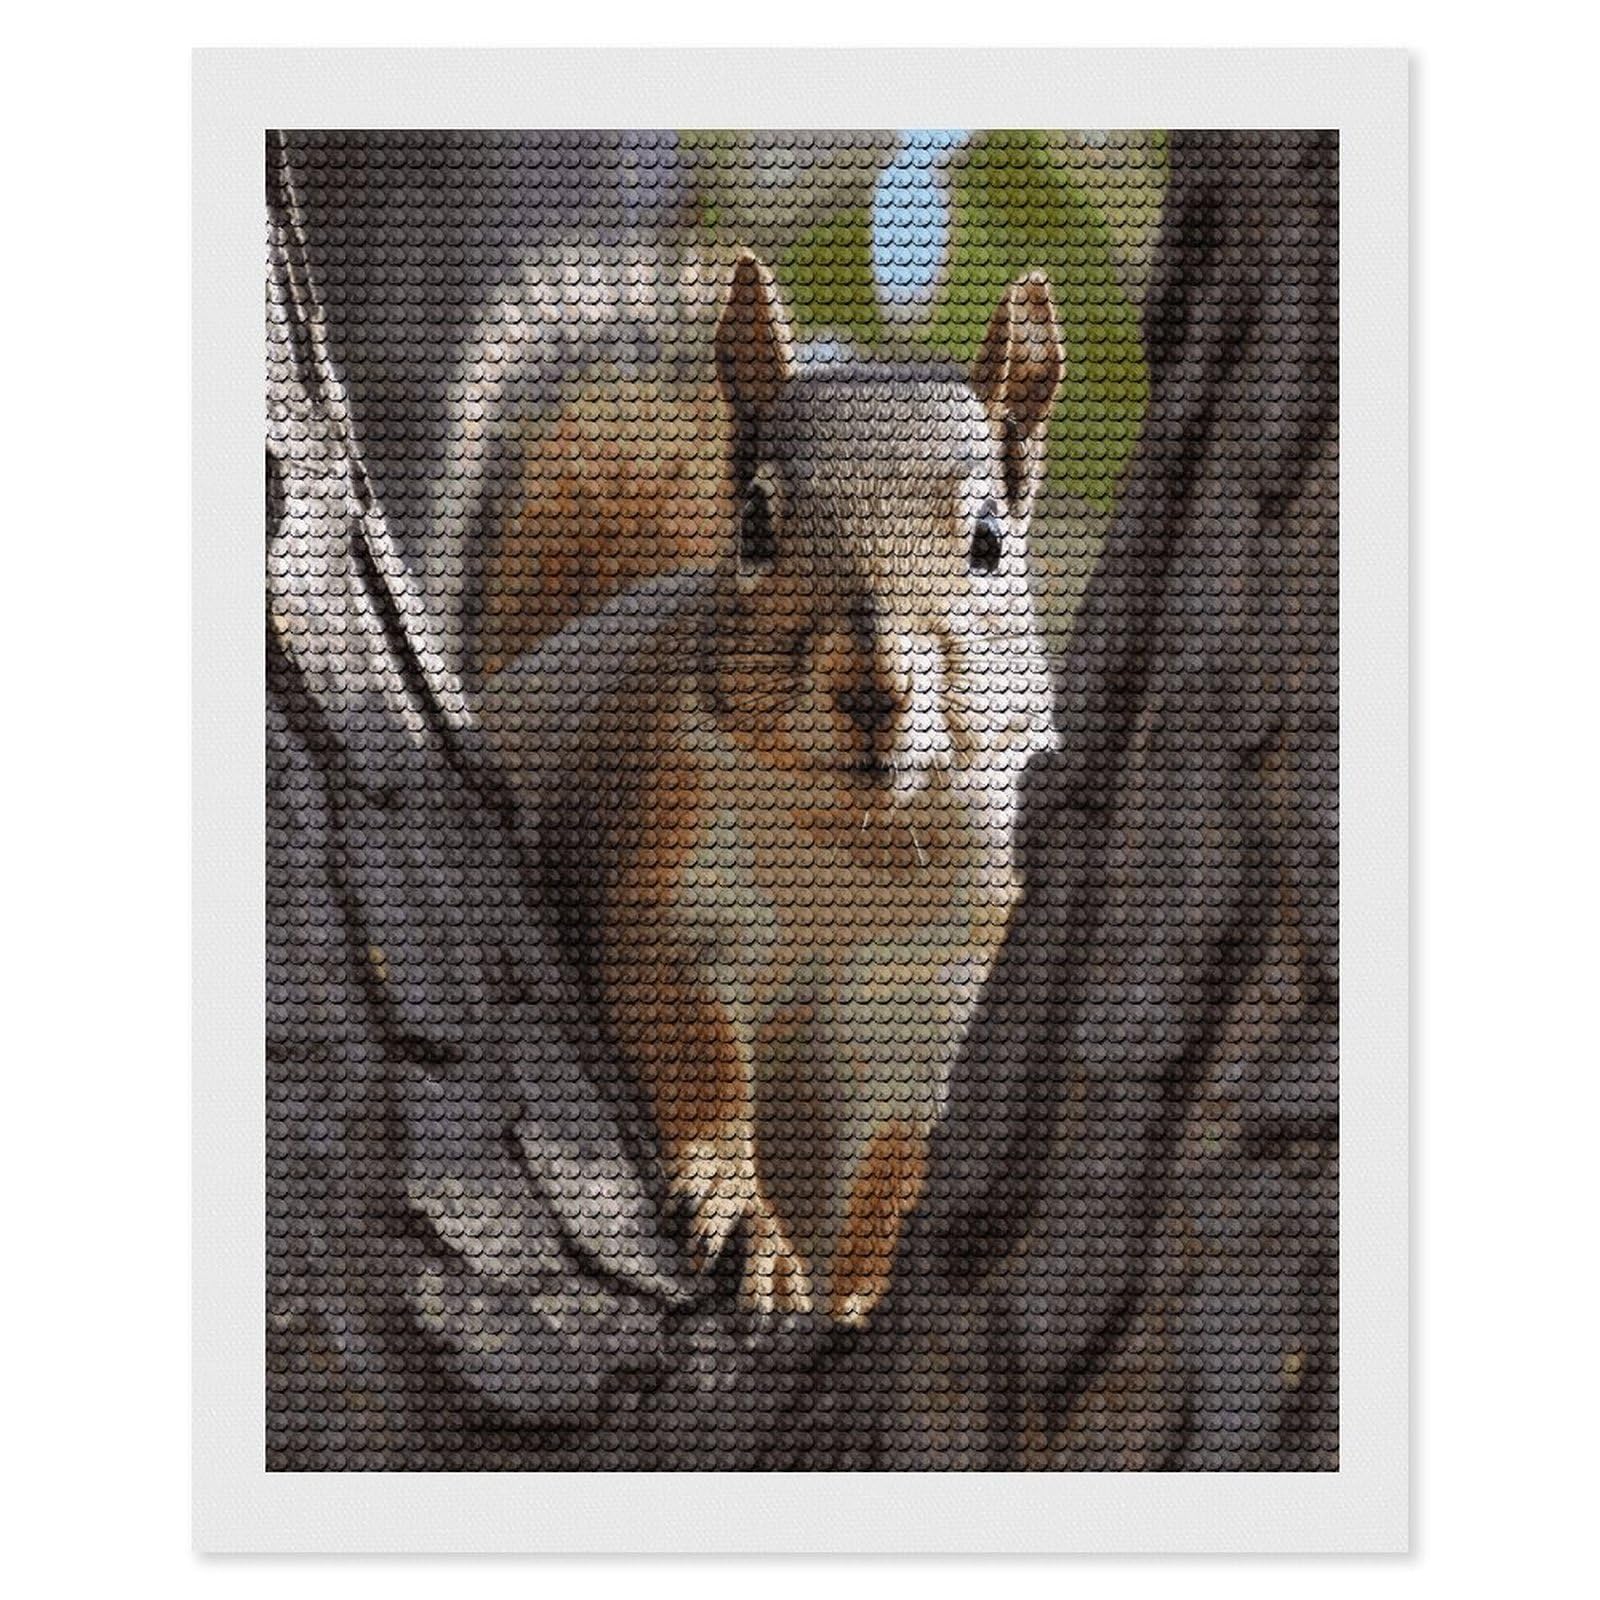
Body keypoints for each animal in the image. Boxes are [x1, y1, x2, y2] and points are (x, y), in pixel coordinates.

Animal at [483, 253, 1064, 1324]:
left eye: (990, 543)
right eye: (753, 525)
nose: (871, 686)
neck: (855, 847)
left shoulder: (929, 1004)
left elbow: (888, 1176)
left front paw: (860, 1297)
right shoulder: (671, 881)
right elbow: (696, 1052)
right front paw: (743, 1214)